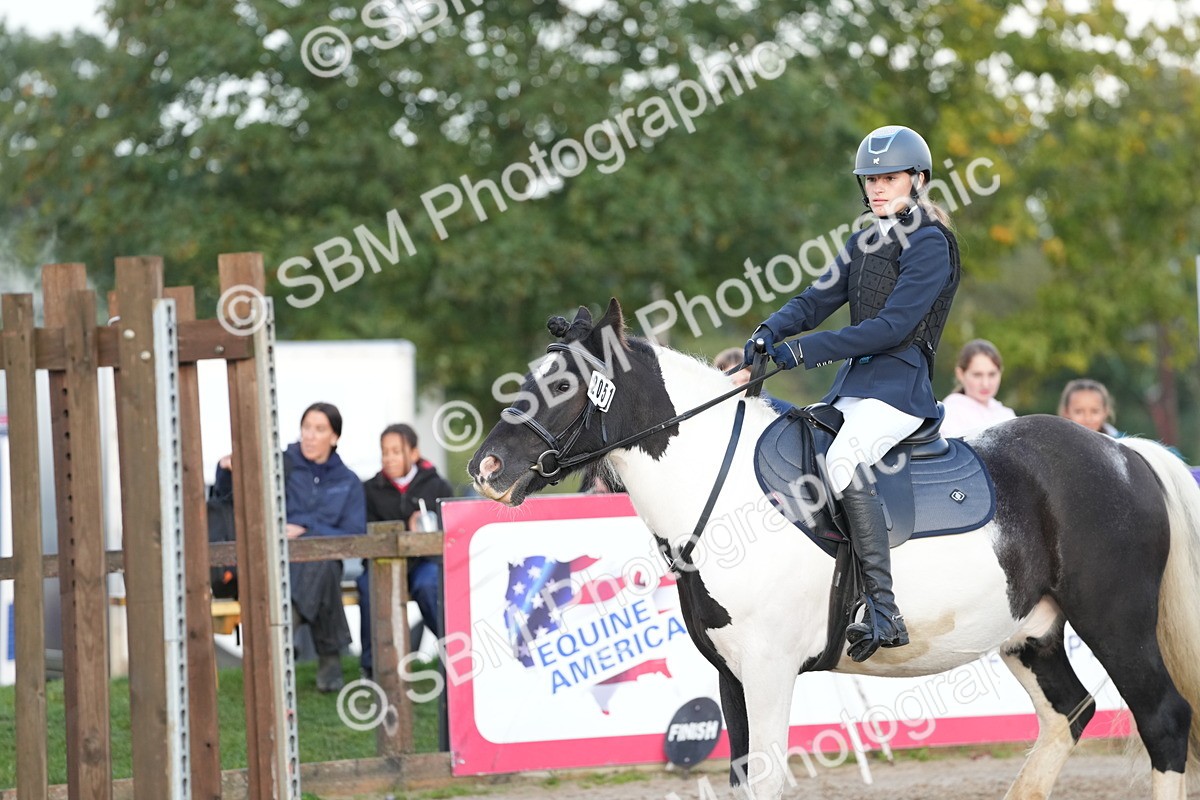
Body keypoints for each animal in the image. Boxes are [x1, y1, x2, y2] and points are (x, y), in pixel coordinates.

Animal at [467, 299, 1200, 800]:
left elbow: (766, 781)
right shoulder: (731, 675)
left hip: (1115, 624)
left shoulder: (768, 671)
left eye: (564, 385)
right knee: (1067, 713)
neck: (720, 490)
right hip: (1032, 634)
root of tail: (1124, 454)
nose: (486, 468)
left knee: (1164, 719)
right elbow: (741, 779)